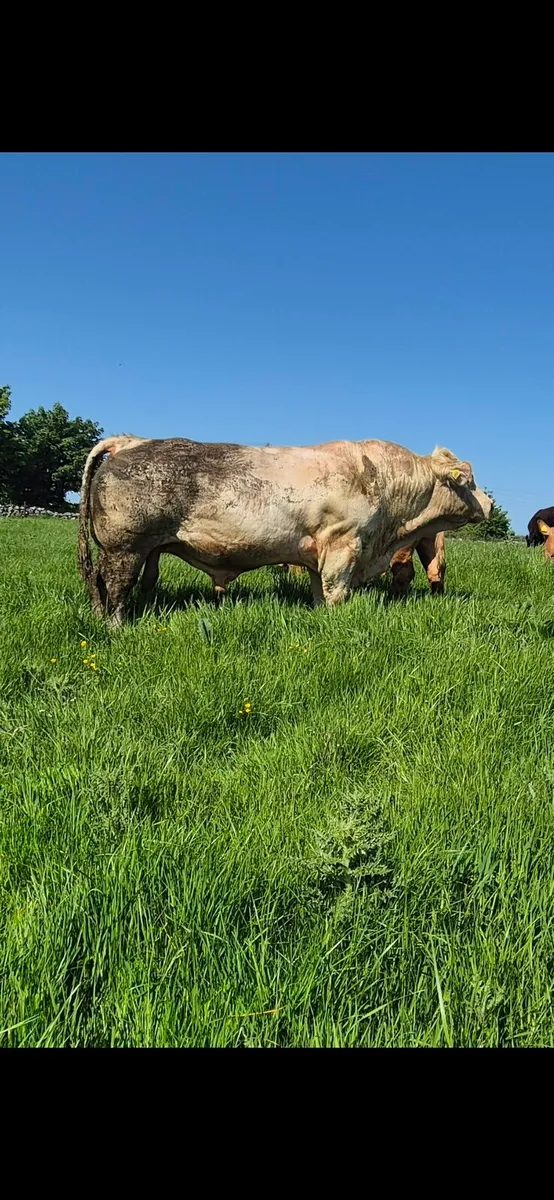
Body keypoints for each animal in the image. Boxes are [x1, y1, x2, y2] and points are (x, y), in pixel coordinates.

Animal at [78, 435, 492, 626]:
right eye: (470, 481)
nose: (489, 504)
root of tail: (132, 440)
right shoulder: (343, 546)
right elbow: (336, 592)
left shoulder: (317, 555)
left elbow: (319, 592)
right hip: (125, 548)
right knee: (114, 587)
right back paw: (115, 626)